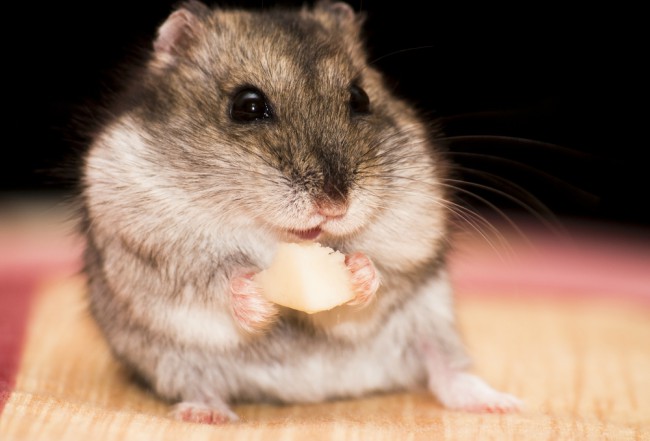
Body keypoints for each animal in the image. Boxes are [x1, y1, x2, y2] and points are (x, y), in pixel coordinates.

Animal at [80, 0, 521, 423]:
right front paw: (255, 300)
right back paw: (207, 414)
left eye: (359, 98)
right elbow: (216, 275)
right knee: (196, 383)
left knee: (444, 369)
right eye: (247, 106)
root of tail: (312, 390)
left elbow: (383, 271)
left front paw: (359, 273)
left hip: (431, 323)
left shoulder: (413, 230)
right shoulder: (151, 238)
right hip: (169, 358)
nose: (334, 206)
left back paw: (498, 404)